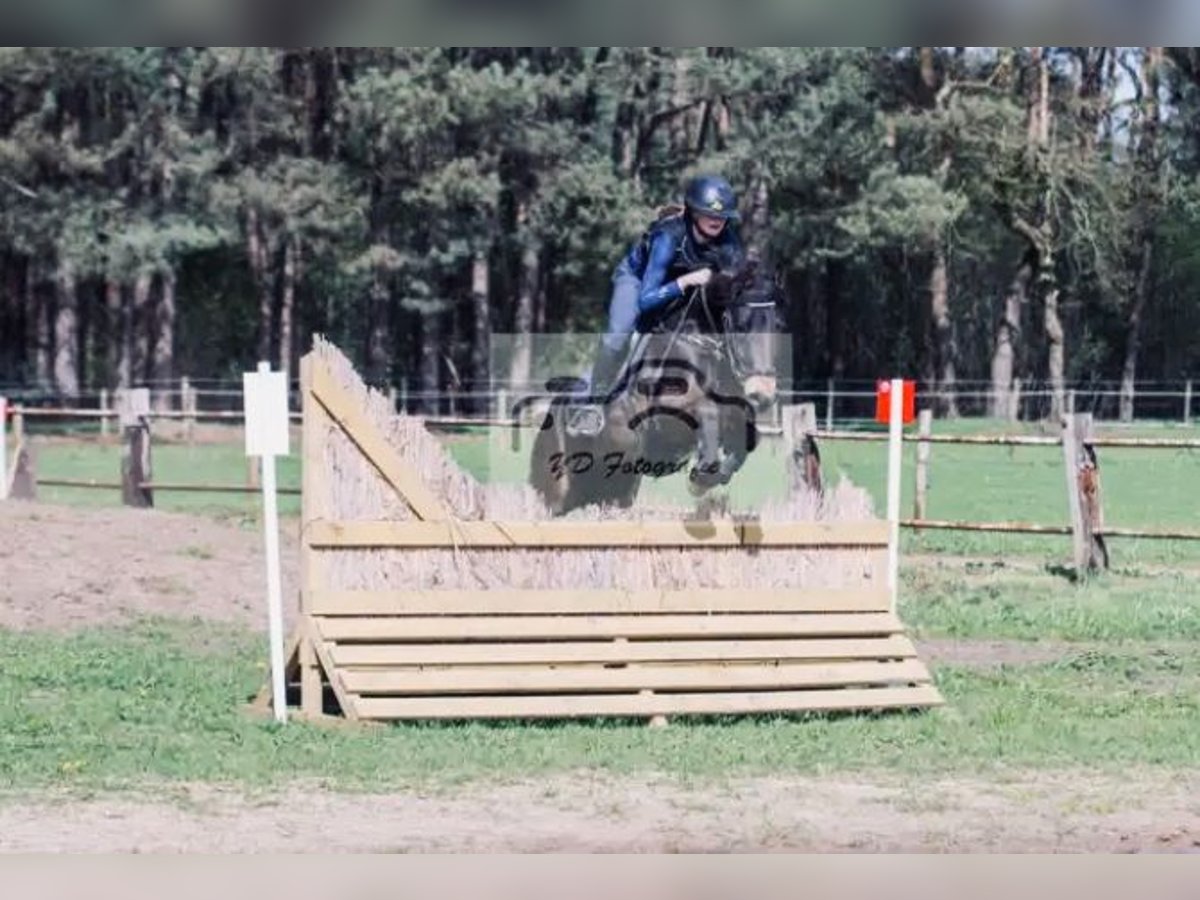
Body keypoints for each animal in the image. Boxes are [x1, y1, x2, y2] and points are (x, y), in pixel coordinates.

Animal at [520, 256, 782, 518]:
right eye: (741, 325)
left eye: (777, 325)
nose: (763, 392)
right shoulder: (668, 415)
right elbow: (706, 412)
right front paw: (699, 479)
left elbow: (748, 438)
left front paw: (710, 477)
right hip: (557, 488)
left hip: (616, 491)